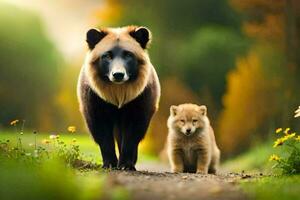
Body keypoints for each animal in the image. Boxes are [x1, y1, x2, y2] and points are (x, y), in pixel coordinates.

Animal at [77, 25, 162, 170]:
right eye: (107, 55)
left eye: (128, 54)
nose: (118, 74)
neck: (118, 93)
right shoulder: (95, 99)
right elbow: (101, 131)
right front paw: (109, 163)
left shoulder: (139, 99)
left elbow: (132, 132)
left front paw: (126, 164)